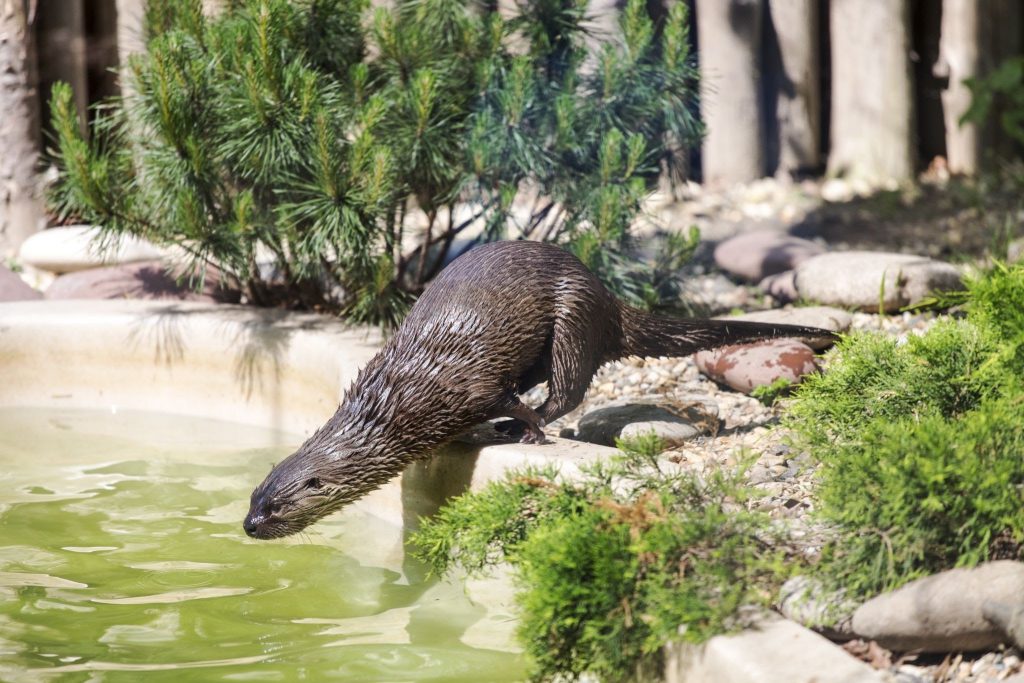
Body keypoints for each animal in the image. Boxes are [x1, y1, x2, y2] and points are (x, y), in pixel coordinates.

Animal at [243, 240, 835, 540]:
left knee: (568, 389)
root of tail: (607, 298)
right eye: (254, 496)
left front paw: (522, 428)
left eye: (275, 507)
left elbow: (507, 399)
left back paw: (523, 427)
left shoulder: (472, 386)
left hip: (573, 318)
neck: (401, 401)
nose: (248, 526)